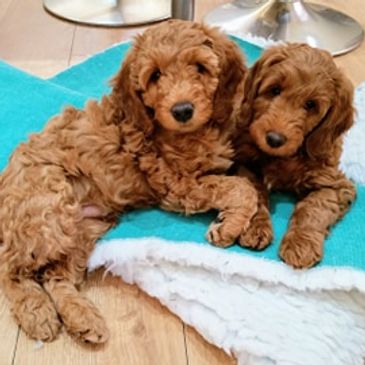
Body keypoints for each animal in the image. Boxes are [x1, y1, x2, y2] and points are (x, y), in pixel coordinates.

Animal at [0, 19, 258, 342]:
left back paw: (81, 317)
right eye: (155, 75)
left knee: (54, 275)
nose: (182, 111)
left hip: (83, 228)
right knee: (10, 267)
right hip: (48, 211)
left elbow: (244, 179)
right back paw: (37, 312)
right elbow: (239, 187)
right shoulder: (179, 185)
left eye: (200, 67)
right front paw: (230, 226)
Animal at [233, 44, 356, 268]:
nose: (274, 139)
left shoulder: (335, 184)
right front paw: (254, 227)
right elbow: (254, 190)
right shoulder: (243, 161)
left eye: (311, 105)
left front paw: (301, 244)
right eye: (275, 90)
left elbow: (313, 208)